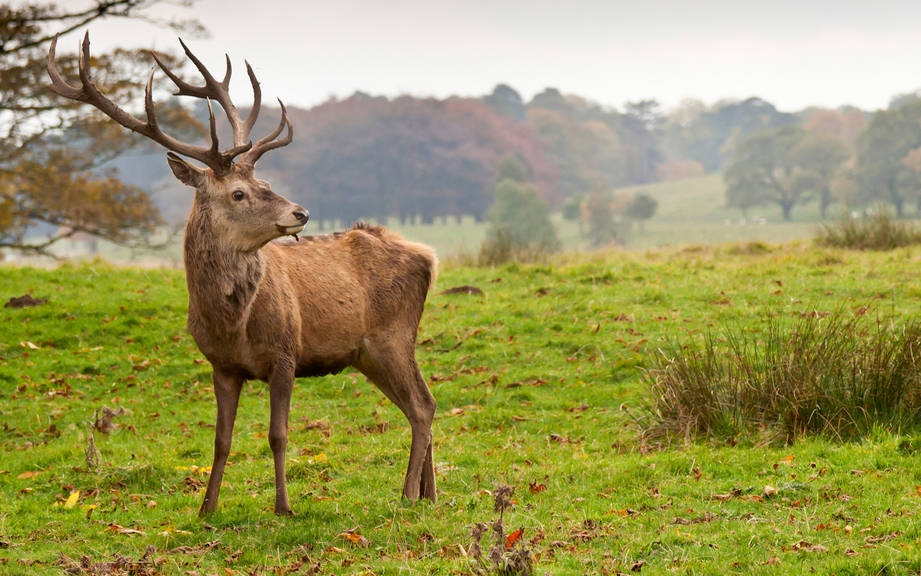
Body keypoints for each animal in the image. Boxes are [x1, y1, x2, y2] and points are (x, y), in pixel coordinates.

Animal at [46, 33, 438, 516]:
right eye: (238, 192)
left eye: (264, 183)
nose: (300, 212)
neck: (232, 325)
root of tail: (427, 256)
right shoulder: (221, 365)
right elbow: (221, 440)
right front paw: (206, 508)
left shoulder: (286, 354)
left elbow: (278, 435)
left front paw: (283, 507)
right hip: (369, 352)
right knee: (423, 404)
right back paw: (431, 494)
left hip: (392, 337)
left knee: (422, 406)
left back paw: (407, 495)